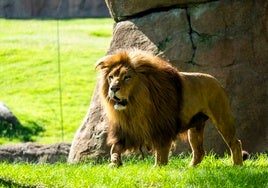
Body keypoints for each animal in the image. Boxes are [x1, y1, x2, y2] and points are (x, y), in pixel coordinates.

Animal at [96, 48, 247, 167]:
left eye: (127, 77)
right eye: (111, 77)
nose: (113, 88)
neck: (135, 105)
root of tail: (216, 81)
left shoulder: (162, 128)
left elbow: (161, 151)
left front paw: (158, 168)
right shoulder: (128, 130)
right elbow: (115, 148)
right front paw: (114, 163)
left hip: (222, 118)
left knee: (235, 143)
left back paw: (237, 166)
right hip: (195, 127)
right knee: (199, 151)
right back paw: (189, 169)